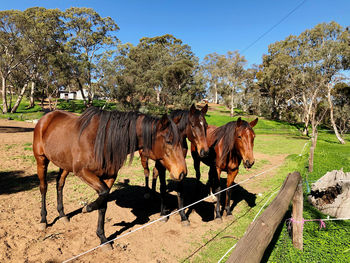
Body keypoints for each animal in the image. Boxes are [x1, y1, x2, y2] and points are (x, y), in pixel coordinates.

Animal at [32, 107, 186, 248]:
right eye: (169, 141)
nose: (182, 172)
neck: (103, 141)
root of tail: (46, 117)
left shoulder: (110, 177)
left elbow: (103, 203)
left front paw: (102, 238)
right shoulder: (82, 171)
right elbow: (103, 194)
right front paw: (87, 208)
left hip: (65, 164)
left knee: (60, 184)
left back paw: (62, 214)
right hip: (41, 160)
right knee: (43, 187)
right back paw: (43, 220)